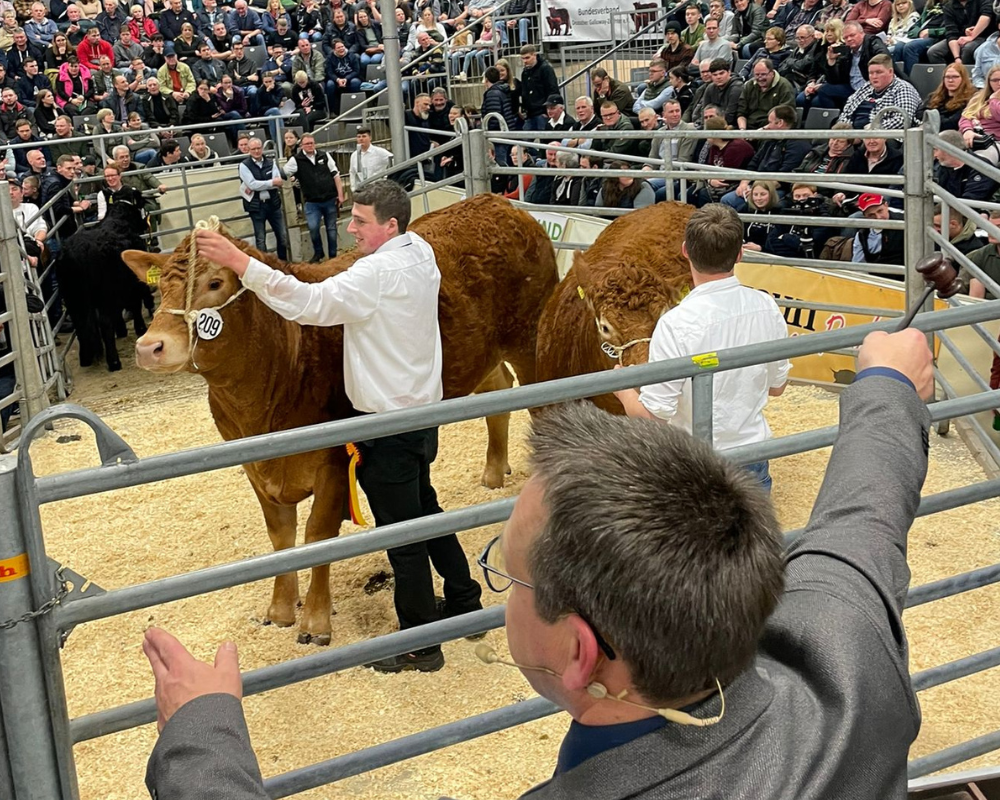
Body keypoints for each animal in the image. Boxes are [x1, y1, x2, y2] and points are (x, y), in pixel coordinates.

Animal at [56, 203, 154, 372]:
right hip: (103, 295)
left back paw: (86, 358)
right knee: (104, 322)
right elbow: (135, 303)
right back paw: (114, 362)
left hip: (73, 299)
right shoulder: (131, 284)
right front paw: (140, 328)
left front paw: (121, 330)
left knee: (81, 324)